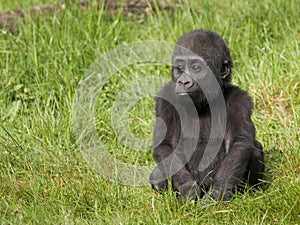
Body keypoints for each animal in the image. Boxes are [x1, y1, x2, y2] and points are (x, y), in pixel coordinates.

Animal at [149, 29, 264, 200]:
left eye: (196, 67)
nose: (183, 82)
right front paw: (188, 188)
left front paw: (217, 193)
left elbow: (239, 143)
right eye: (180, 68)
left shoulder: (240, 100)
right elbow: (165, 145)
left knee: (254, 150)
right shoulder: (165, 99)